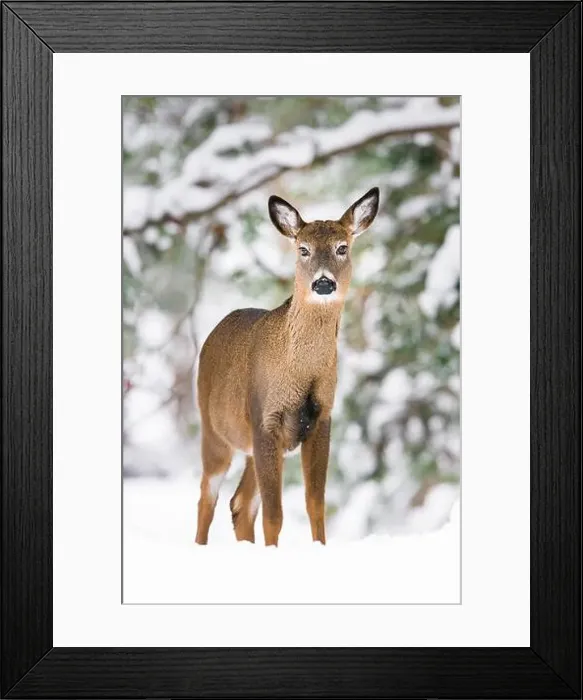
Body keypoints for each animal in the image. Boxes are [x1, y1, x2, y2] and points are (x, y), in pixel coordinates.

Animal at [195, 187, 380, 546]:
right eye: (303, 249)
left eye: (342, 247)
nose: (323, 283)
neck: (301, 373)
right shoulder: (265, 418)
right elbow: (274, 514)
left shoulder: (322, 418)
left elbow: (315, 504)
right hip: (214, 431)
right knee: (207, 498)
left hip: (253, 446)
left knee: (240, 503)